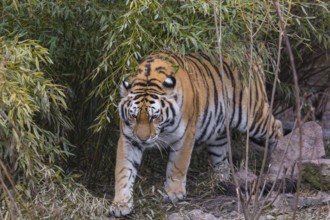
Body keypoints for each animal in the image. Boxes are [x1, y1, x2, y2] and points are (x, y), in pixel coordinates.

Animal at [109, 49, 284, 217]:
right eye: (134, 116)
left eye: (154, 117)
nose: (143, 139)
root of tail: (251, 54)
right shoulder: (128, 139)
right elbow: (123, 171)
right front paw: (120, 204)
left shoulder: (185, 135)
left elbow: (178, 165)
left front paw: (173, 193)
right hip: (218, 129)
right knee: (221, 155)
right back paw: (219, 180)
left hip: (253, 116)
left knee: (278, 128)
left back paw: (278, 163)